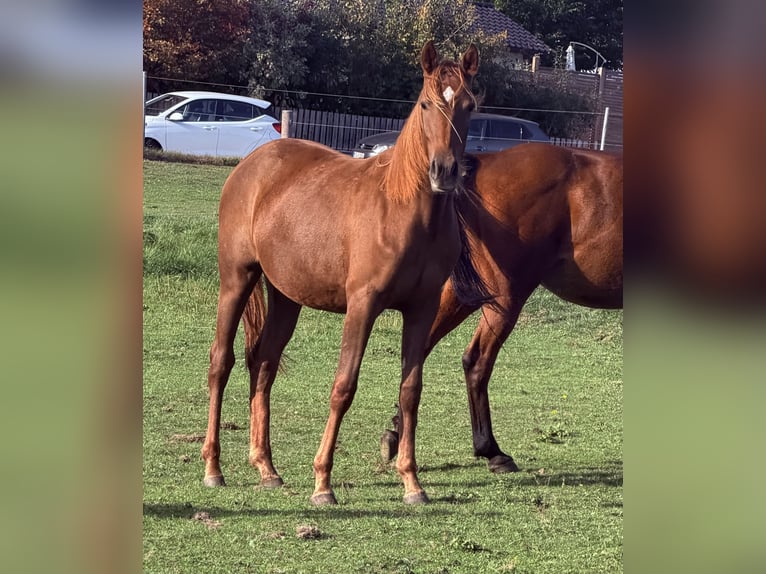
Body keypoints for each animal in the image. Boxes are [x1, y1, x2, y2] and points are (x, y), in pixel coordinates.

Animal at [201, 41, 484, 505]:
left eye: (468, 105)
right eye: (426, 103)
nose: (444, 172)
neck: (402, 209)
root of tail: (251, 164)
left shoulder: (421, 309)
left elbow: (410, 391)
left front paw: (412, 482)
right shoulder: (363, 305)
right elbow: (344, 387)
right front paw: (323, 483)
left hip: (286, 298)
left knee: (264, 364)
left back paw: (267, 468)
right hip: (237, 279)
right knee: (220, 362)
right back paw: (213, 468)